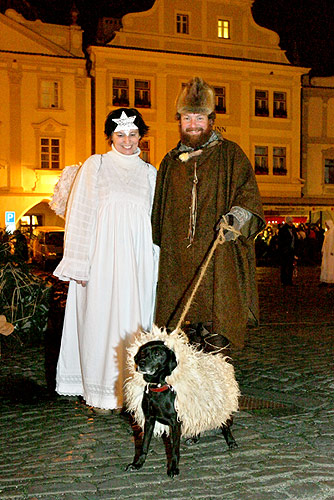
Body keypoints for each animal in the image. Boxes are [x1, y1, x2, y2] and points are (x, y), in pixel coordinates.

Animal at [126, 340, 237, 476]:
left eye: (157, 354)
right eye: (142, 352)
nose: (141, 364)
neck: (158, 388)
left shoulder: (175, 423)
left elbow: (174, 449)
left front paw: (173, 468)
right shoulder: (149, 420)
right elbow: (144, 446)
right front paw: (137, 464)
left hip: (219, 406)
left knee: (225, 424)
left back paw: (231, 442)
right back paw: (194, 438)